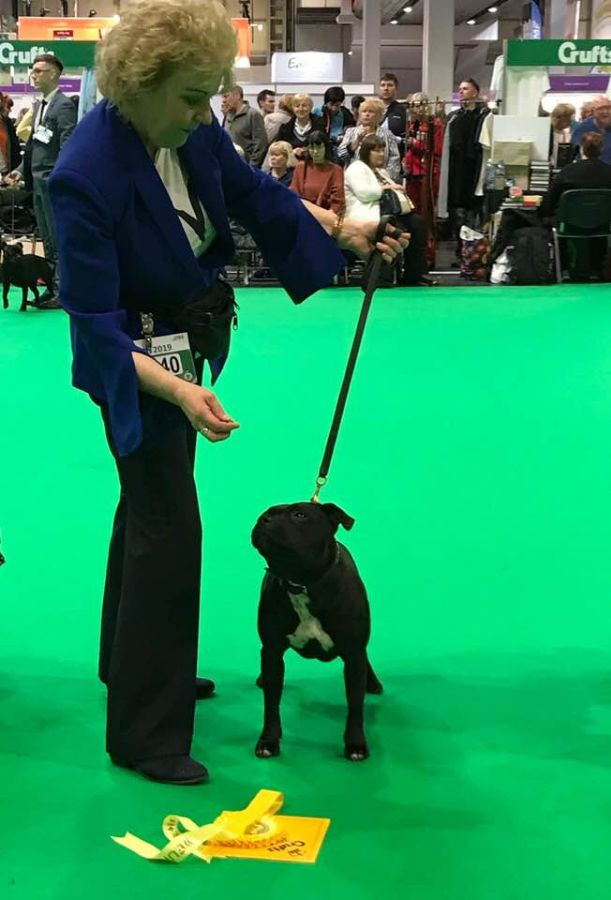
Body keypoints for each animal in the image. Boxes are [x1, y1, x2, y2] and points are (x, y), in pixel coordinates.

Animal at [251, 501, 383, 762]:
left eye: (299, 515)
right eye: (267, 513)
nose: (264, 520)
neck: (302, 583)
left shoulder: (354, 654)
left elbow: (355, 705)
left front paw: (355, 744)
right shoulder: (272, 652)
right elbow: (271, 704)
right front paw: (268, 740)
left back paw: (372, 682)